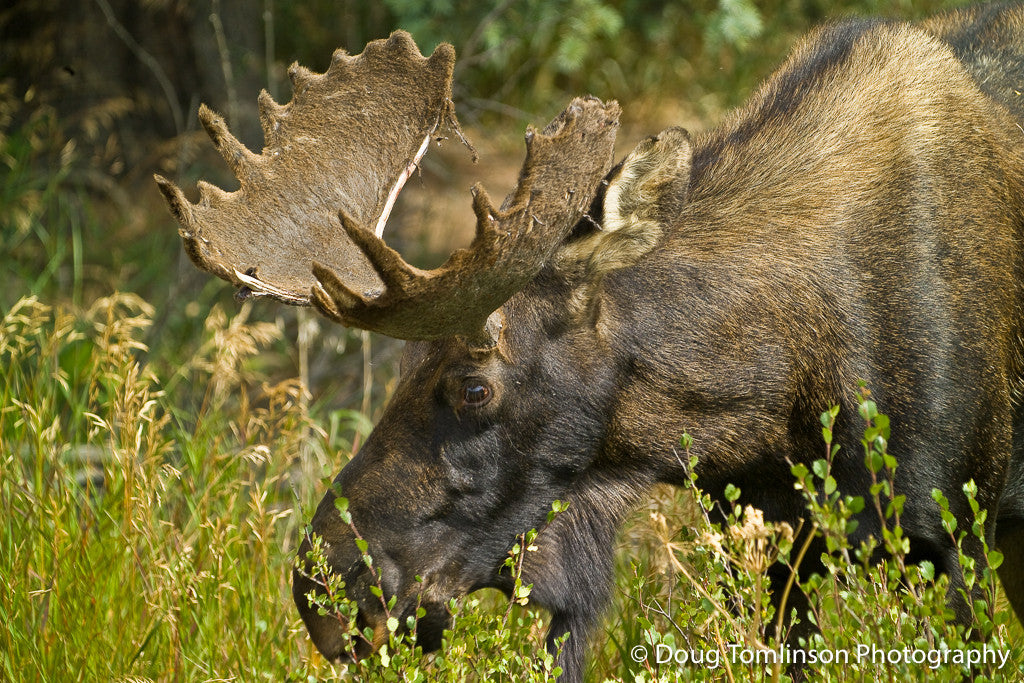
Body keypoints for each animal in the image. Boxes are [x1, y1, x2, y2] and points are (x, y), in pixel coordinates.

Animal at [156, 4, 1024, 681]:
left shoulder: (949, 531)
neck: (775, 399)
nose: (323, 591)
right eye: (400, 365)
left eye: (474, 384)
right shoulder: (765, 542)